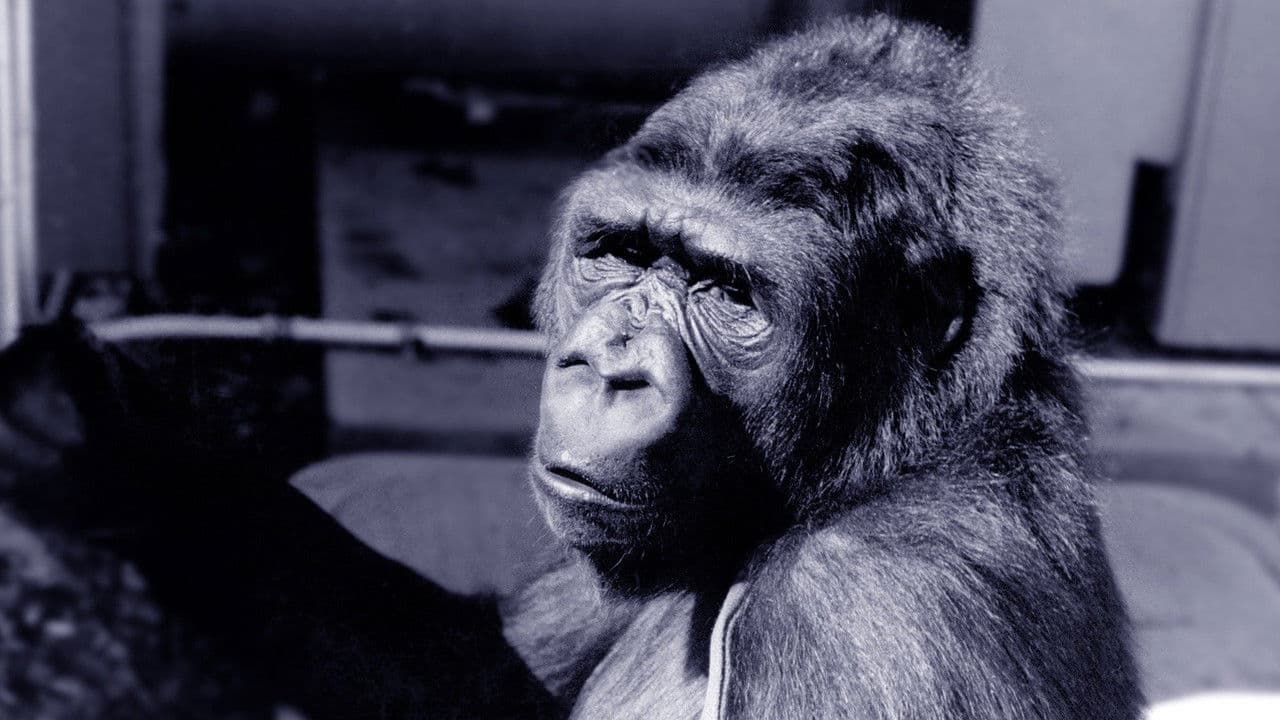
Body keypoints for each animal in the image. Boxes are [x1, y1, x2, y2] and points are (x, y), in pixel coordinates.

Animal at [0, 15, 1141, 720]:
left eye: (727, 293)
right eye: (621, 253)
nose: (607, 367)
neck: (879, 463)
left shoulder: (872, 618)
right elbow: (471, 674)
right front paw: (116, 449)